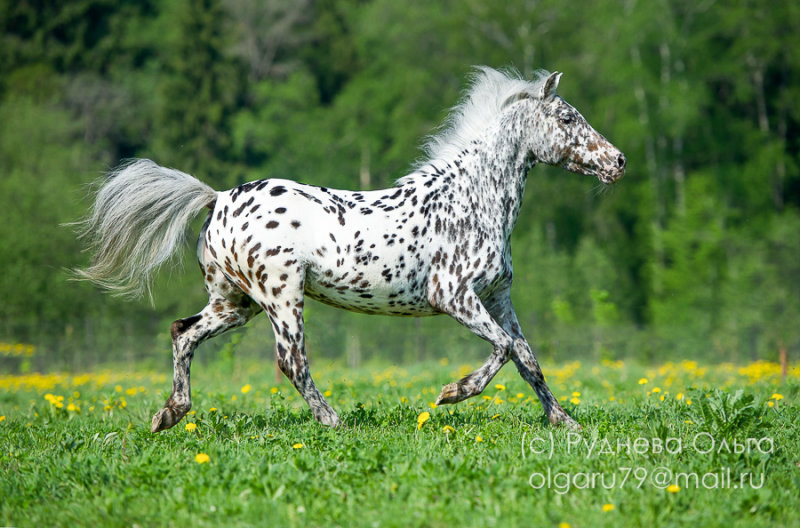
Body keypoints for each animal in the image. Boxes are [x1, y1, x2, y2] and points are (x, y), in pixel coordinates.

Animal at [75, 67, 624, 434]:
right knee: (291, 360)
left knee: (183, 332)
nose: (617, 162)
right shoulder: (453, 295)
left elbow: (528, 358)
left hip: (236, 302)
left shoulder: (497, 297)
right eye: (567, 118)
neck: (471, 200)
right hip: (282, 297)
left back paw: (169, 414)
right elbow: (505, 349)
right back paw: (333, 421)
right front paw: (451, 393)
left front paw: (565, 421)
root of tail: (219, 199)